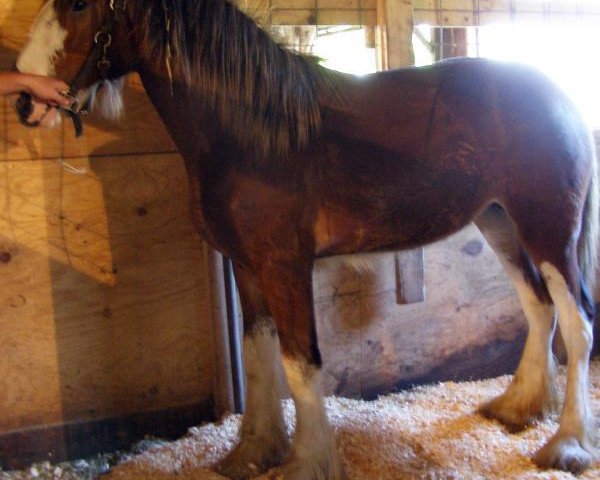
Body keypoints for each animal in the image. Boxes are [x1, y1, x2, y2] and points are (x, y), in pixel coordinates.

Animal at [16, 0, 596, 480]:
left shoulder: (284, 266)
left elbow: (301, 363)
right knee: (539, 307)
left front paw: (307, 462)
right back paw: (517, 407)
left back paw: (568, 445)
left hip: (548, 231)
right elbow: (259, 355)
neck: (249, 131)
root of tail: (561, 97)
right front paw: (253, 453)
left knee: (577, 322)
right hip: (500, 222)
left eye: (80, 3)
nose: (24, 100)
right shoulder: (246, 267)